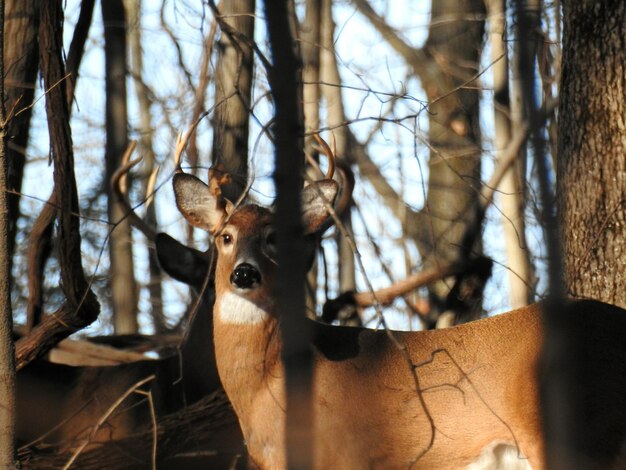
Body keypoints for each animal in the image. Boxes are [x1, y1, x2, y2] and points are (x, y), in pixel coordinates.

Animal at [172, 144, 626, 470]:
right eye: (225, 236)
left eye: (272, 238)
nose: (244, 274)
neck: (271, 381)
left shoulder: (345, 456)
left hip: (571, 433)